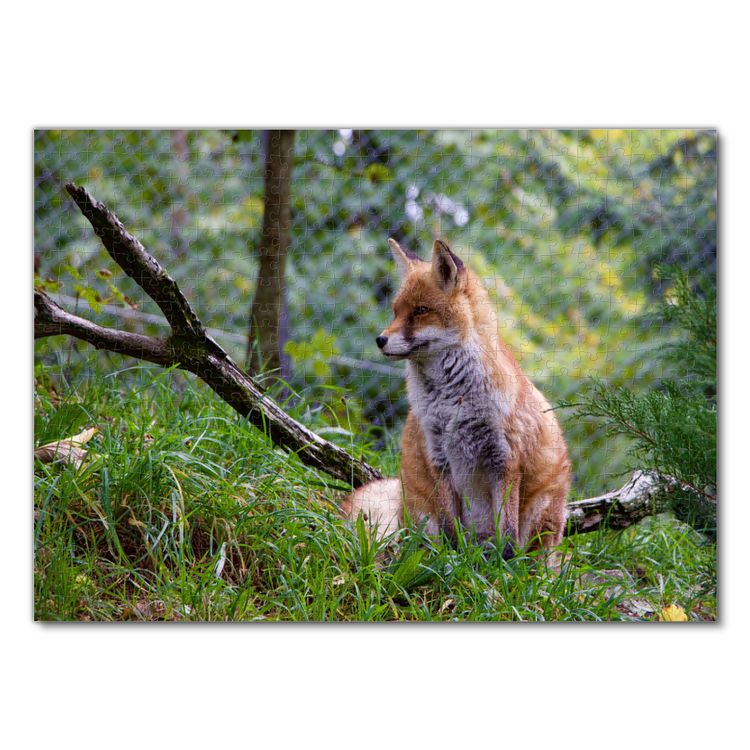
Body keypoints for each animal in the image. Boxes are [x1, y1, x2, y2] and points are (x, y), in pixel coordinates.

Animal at [343, 238, 571, 558]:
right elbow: (451, 529)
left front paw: (504, 565)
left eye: (420, 310)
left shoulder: (505, 459)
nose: (380, 340)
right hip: (419, 511)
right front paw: (452, 560)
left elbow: (507, 533)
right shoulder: (438, 457)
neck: (452, 402)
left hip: (544, 512)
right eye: (396, 311)